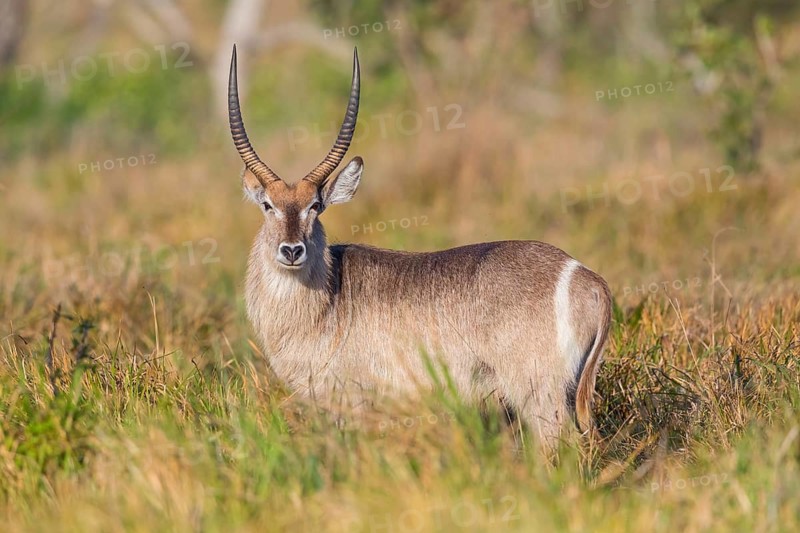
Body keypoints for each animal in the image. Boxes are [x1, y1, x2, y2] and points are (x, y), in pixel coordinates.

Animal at [227, 45, 612, 445]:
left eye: (315, 206)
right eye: (267, 205)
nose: (291, 250)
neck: (327, 299)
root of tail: (587, 276)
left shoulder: (353, 401)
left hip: (538, 391)